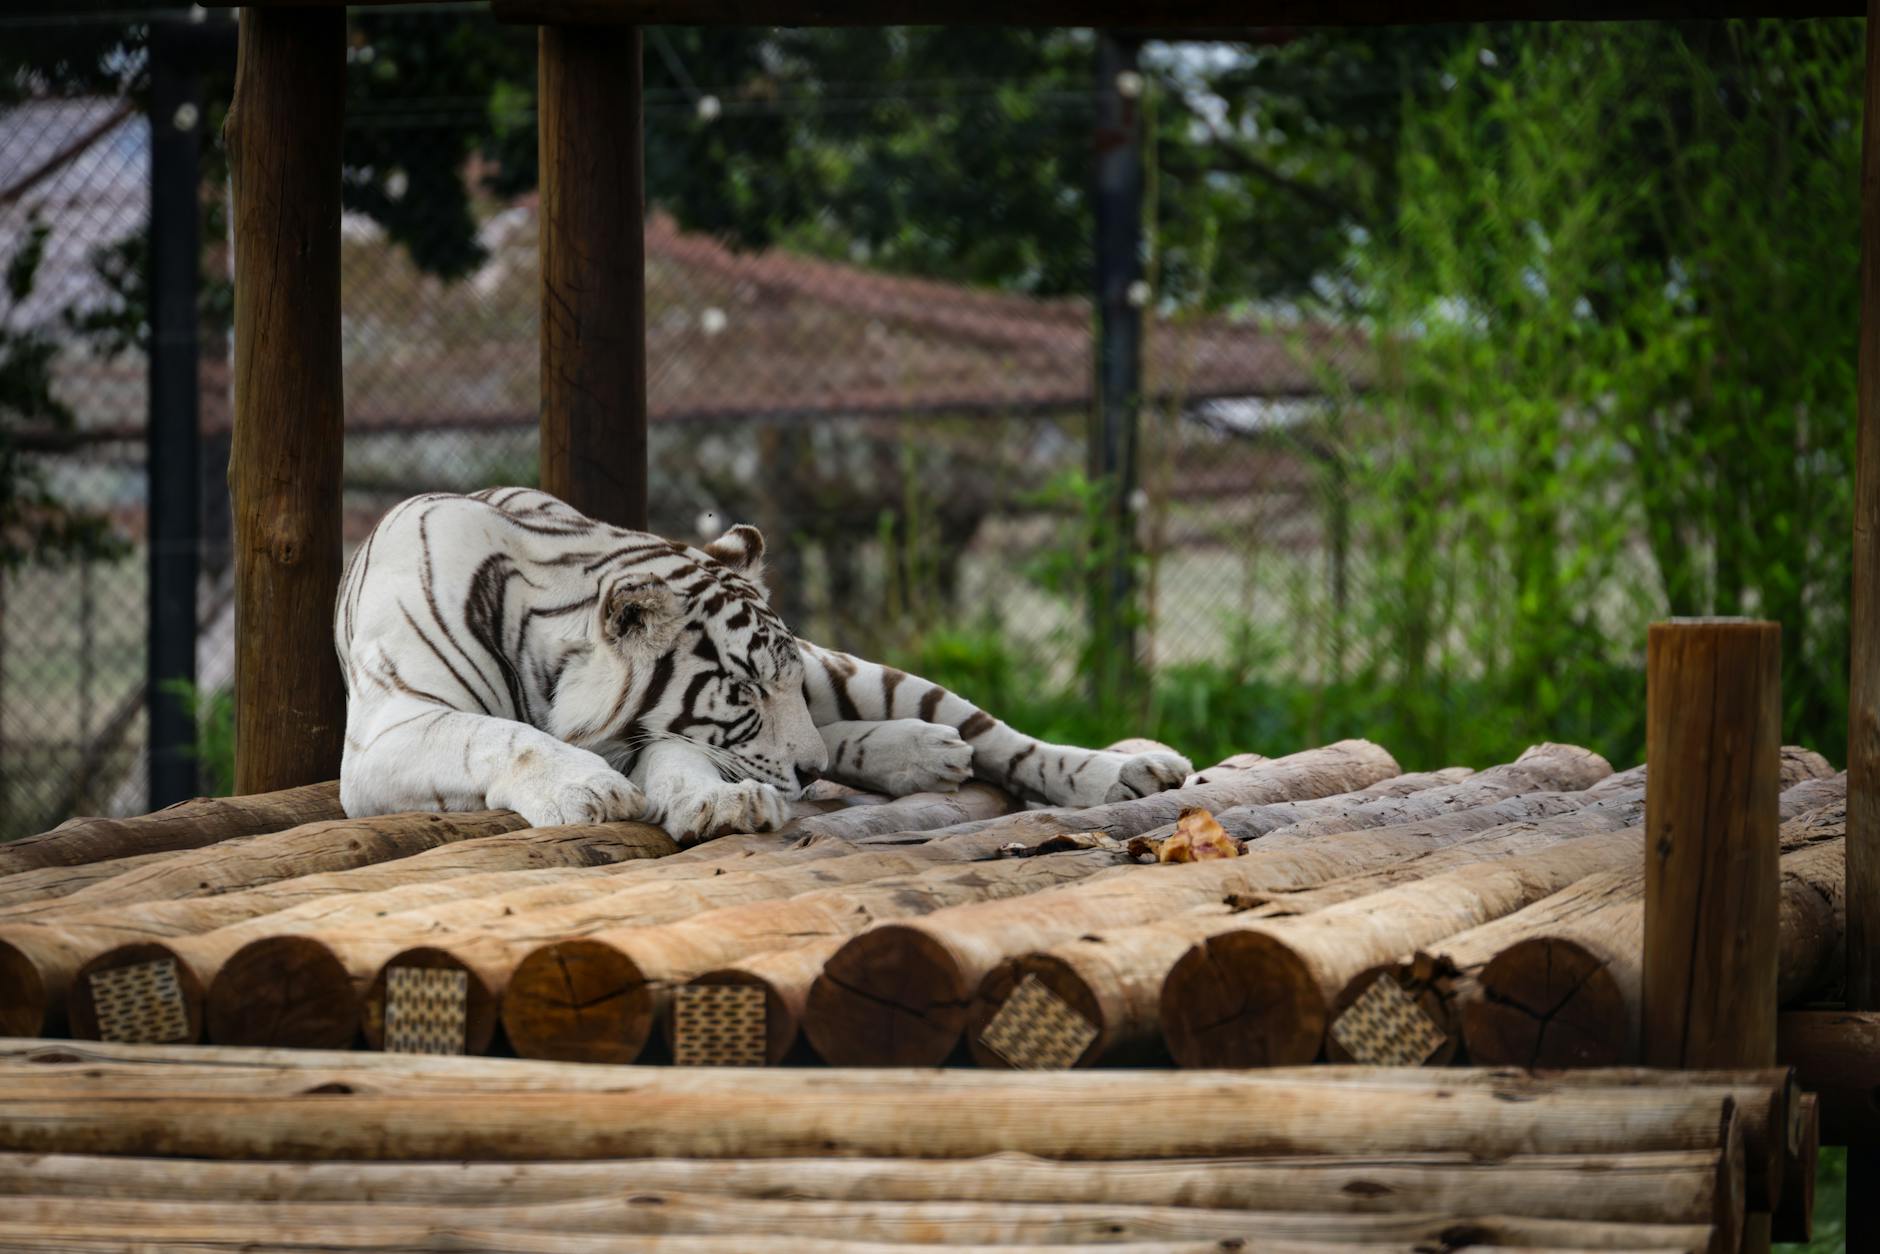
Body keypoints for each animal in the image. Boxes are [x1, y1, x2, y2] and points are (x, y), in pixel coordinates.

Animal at [335, 487, 1194, 842]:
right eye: (744, 689)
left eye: (782, 685)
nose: (808, 773)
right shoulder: (386, 736)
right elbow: (496, 734)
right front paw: (588, 789)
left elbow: (682, 756)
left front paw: (722, 802)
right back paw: (914, 755)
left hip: (853, 670)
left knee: (998, 737)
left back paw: (1125, 771)